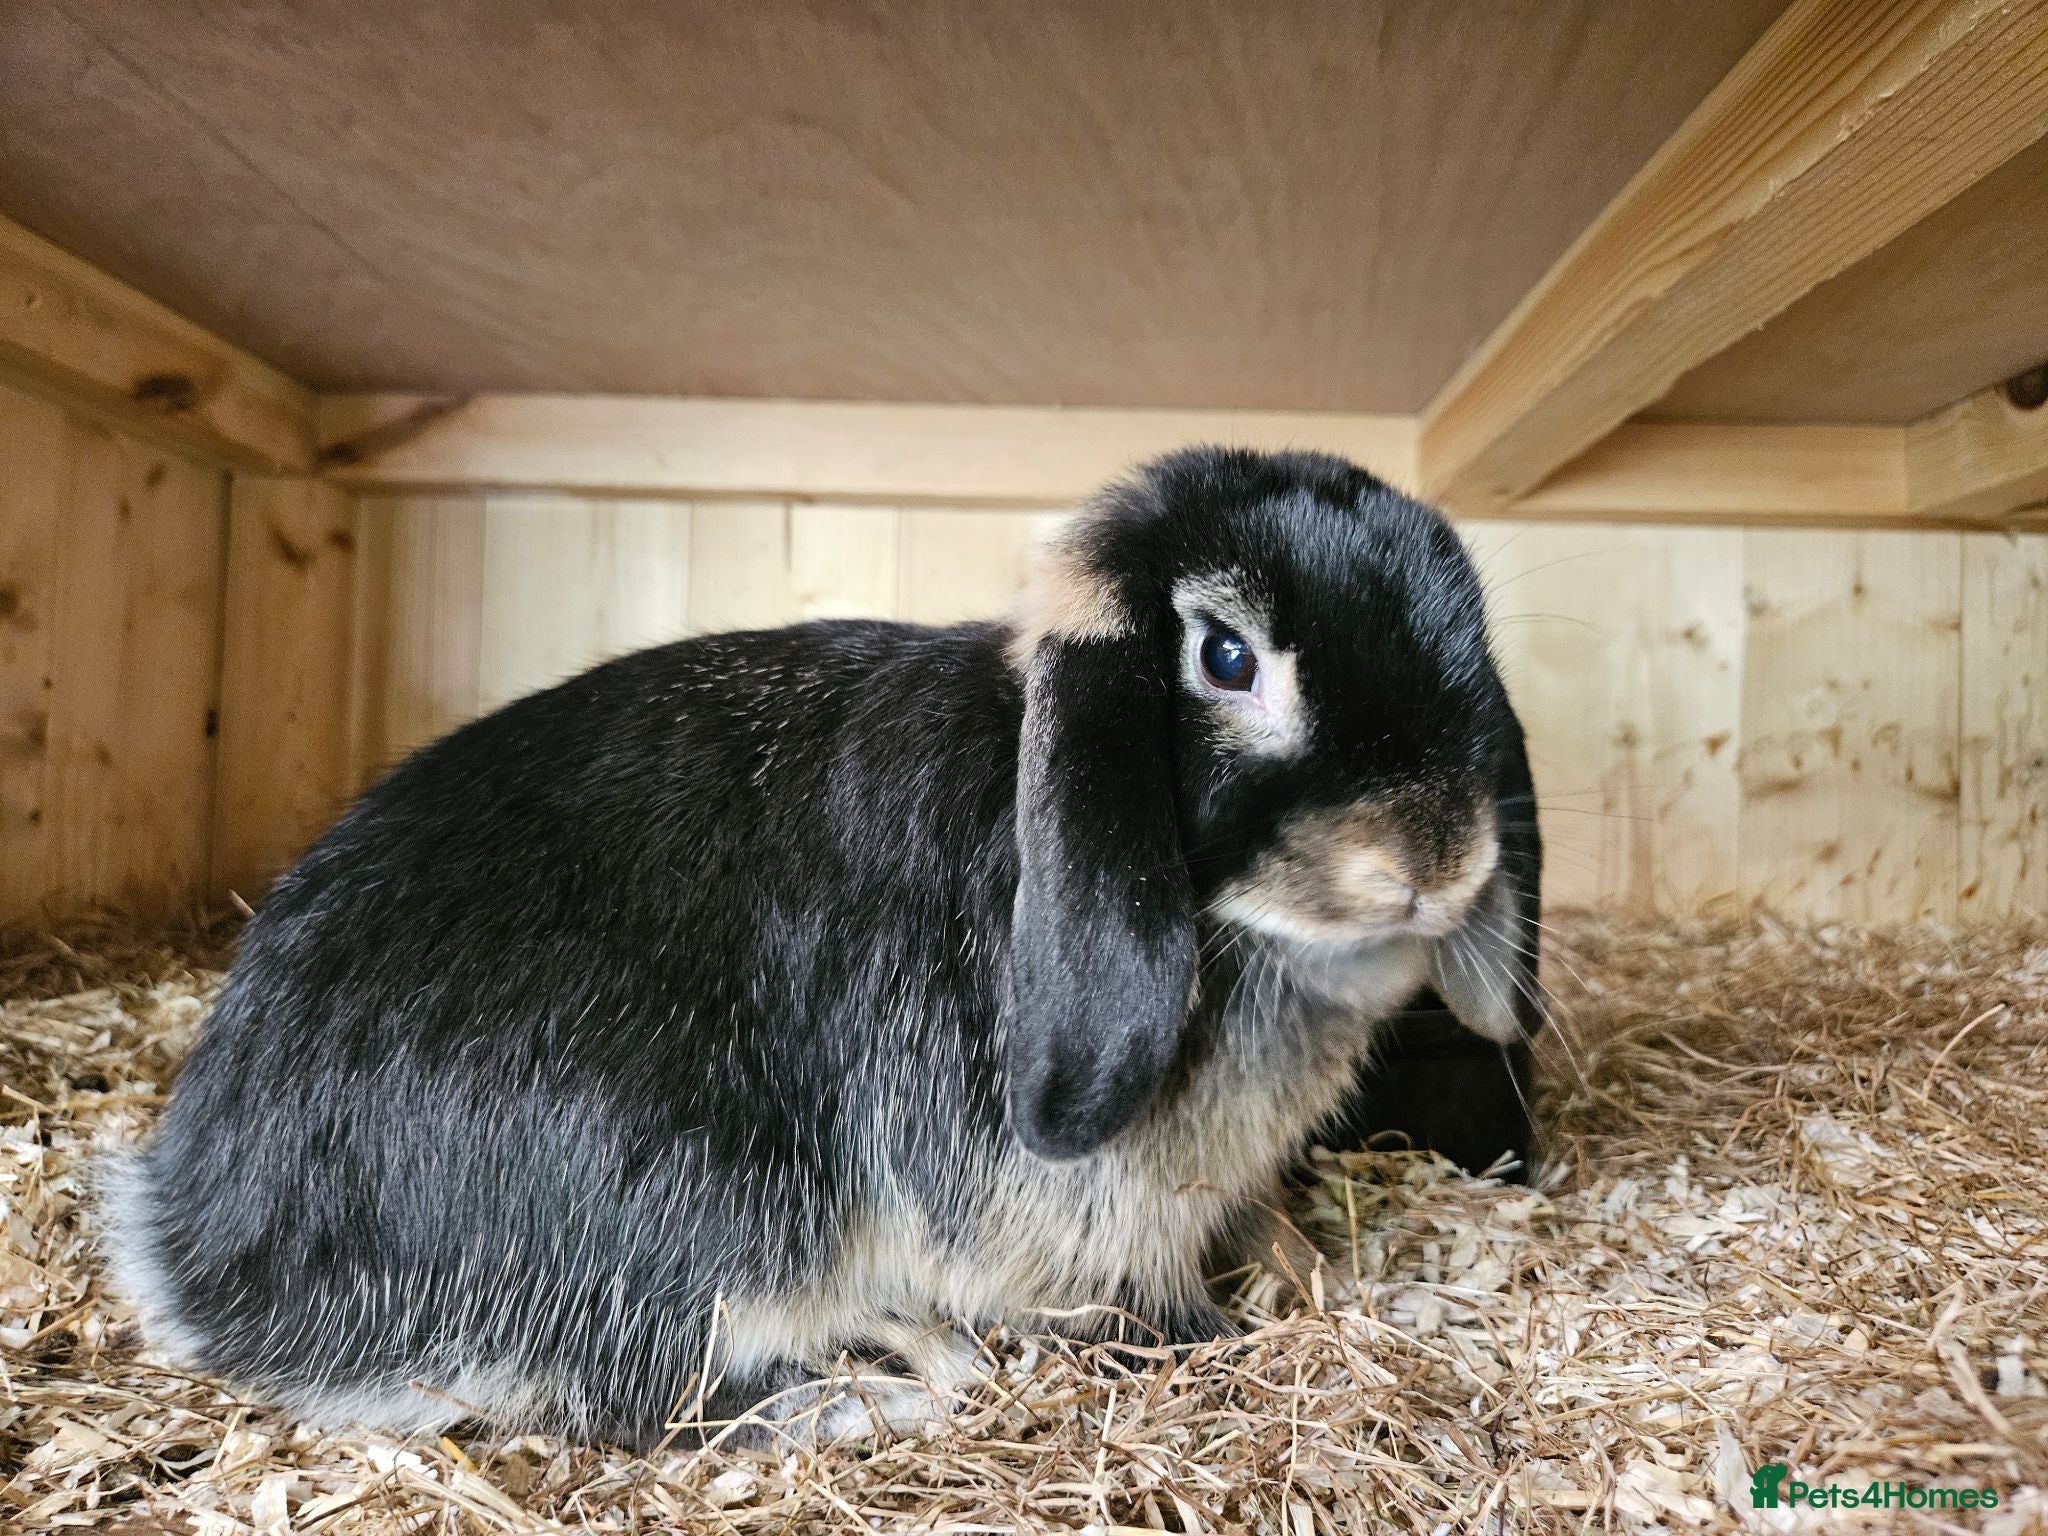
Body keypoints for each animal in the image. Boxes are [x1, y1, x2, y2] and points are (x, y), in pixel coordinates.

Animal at [103, 446, 1543, 1450]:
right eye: (1227, 656)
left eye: (1471, 635)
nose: (1433, 856)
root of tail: (203, 1260)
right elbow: (1147, 1312)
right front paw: (1224, 1343)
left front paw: (1332, 1284)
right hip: (693, 1189)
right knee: (636, 1393)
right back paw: (877, 1390)